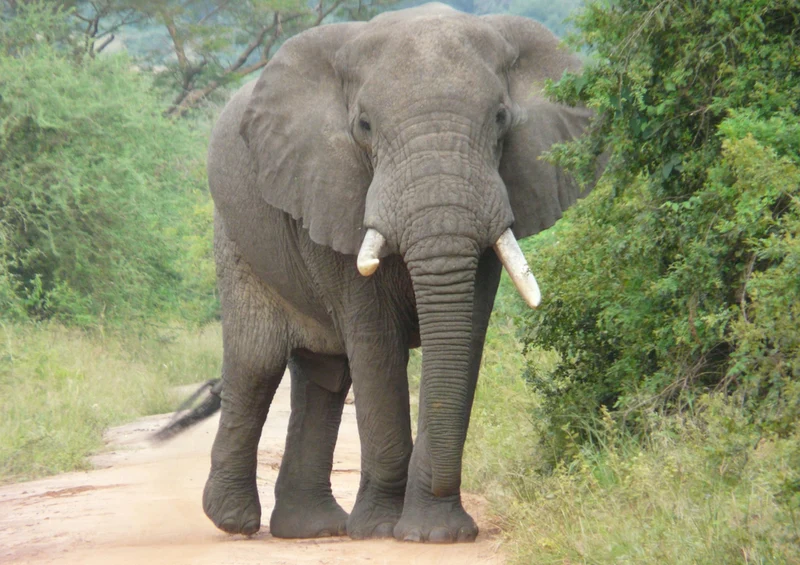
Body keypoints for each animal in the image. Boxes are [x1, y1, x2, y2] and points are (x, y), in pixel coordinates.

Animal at [195, 2, 593, 544]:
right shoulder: (333, 188)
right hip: (235, 236)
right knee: (257, 361)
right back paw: (235, 521)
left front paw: (435, 533)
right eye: (364, 125)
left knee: (324, 374)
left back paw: (312, 528)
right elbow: (376, 340)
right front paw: (384, 529)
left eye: (501, 119)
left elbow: (465, 336)